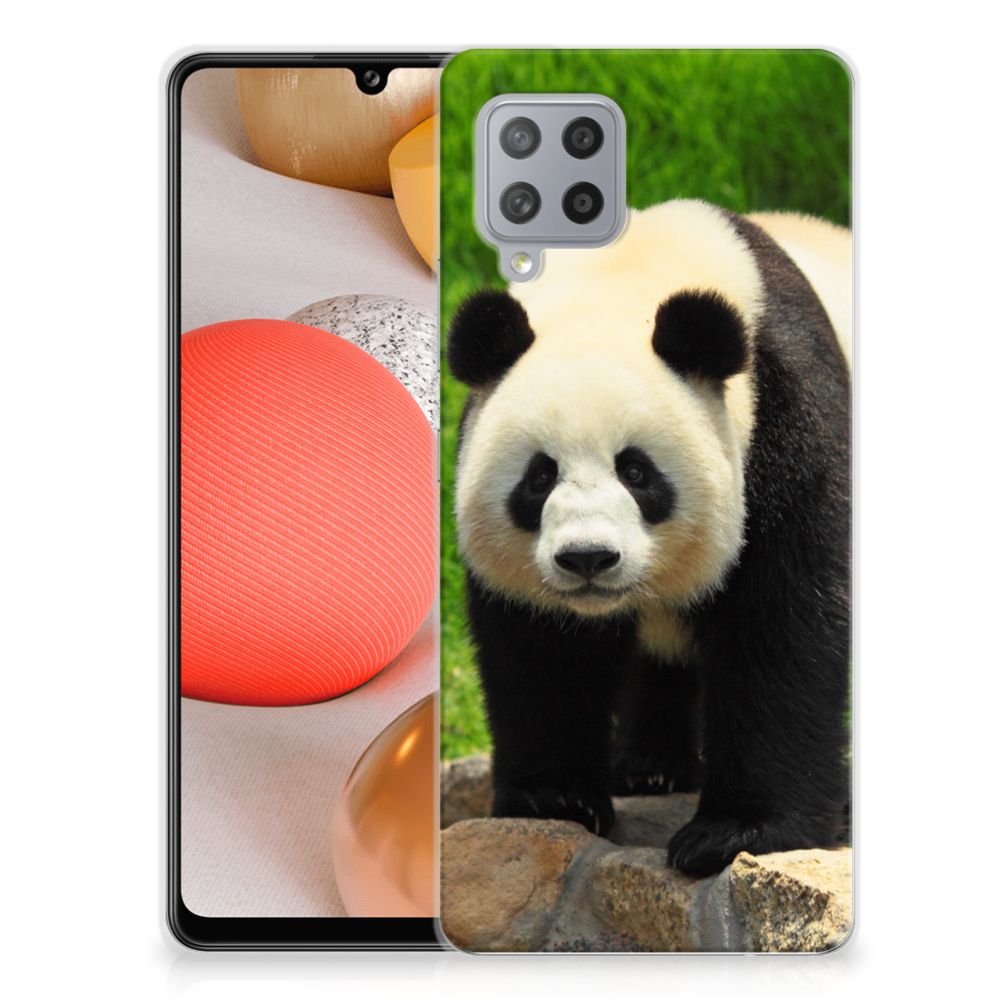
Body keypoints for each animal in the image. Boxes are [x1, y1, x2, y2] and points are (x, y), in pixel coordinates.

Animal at [446, 199, 851, 878]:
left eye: (636, 472)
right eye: (539, 476)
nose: (587, 558)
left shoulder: (788, 420)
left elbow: (784, 623)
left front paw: (735, 832)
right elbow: (541, 649)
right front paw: (555, 799)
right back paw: (650, 769)